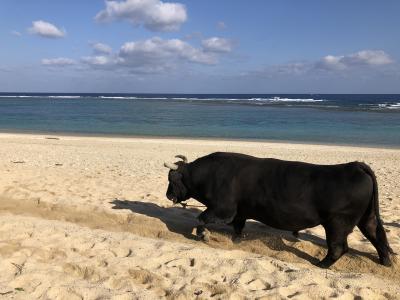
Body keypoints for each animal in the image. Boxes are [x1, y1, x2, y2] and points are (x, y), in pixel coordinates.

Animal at [164, 152, 392, 268]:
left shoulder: (223, 209)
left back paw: (321, 265)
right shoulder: (240, 211)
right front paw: (237, 241)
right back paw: (386, 262)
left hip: (337, 223)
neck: (209, 174)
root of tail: (354, 165)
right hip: (366, 218)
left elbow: (201, 219)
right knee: (378, 236)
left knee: (338, 248)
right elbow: (238, 227)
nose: (167, 195)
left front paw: (204, 235)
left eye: (171, 179)